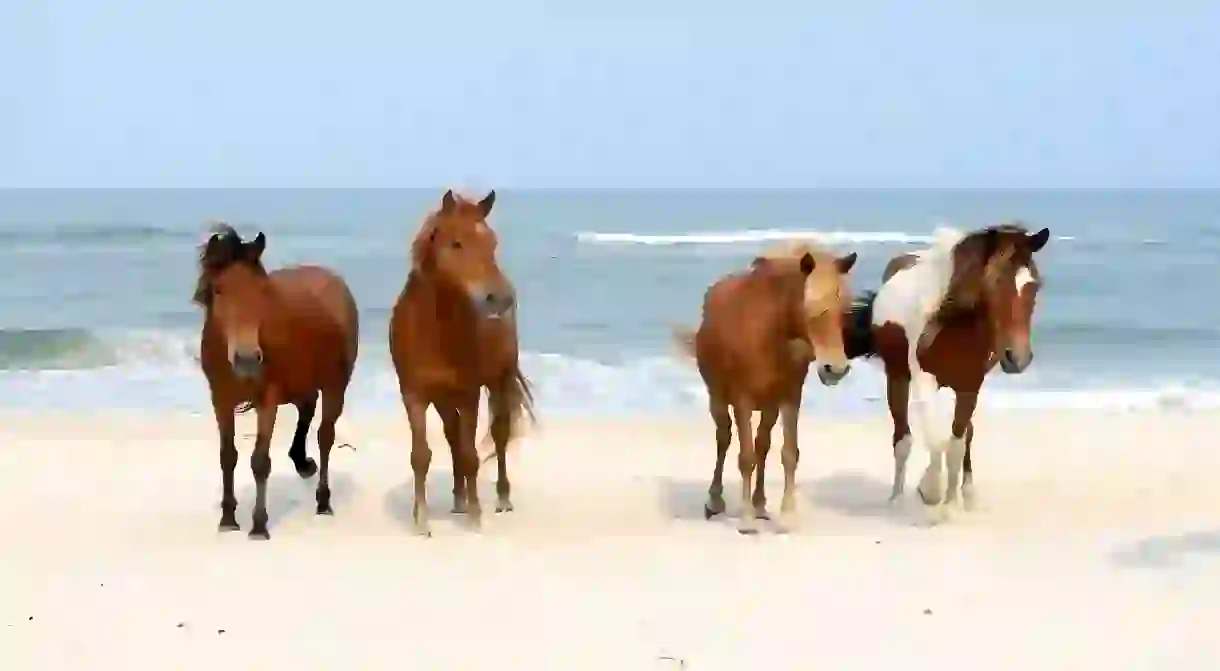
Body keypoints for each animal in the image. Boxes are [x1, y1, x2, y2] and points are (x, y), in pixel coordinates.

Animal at [192, 225, 356, 541]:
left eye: (262, 291)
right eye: (219, 289)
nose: (247, 359)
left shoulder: (268, 398)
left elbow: (259, 461)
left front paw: (259, 526)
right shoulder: (220, 399)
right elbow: (227, 456)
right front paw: (228, 519)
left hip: (335, 386)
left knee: (325, 436)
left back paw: (323, 501)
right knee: (307, 410)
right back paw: (303, 463)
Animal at [390, 191, 534, 539]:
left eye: (493, 242)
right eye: (456, 243)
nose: (501, 298)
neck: (433, 329)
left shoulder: (470, 393)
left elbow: (471, 455)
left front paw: (475, 516)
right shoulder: (413, 395)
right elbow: (421, 455)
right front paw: (421, 520)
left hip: (498, 382)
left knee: (498, 434)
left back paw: (501, 499)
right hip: (443, 399)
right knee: (452, 435)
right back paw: (458, 499)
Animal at [678, 241, 858, 536]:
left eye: (844, 310)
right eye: (812, 309)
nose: (836, 369)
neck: (770, 331)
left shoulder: (790, 399)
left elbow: (788, 454)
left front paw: (786, 517)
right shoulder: (742, 400)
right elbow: (745, 457)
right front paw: (746, 520)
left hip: (769, 407)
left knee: (763, 444)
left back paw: (760, 505)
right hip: (718, 399)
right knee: (723, 438)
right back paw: (715, 501)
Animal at [844, 223, 1054, 517]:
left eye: (1034, 285)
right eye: (995, 283)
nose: (1018, 358)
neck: (953, 324)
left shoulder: (970, 385)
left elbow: (956, 442)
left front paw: (952, 503)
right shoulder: (924, 380)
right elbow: (933, 439)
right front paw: (931, 491)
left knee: (964, 435)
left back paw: (966, 494)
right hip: (898, 377)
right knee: (902, 438)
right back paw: (896, 499)